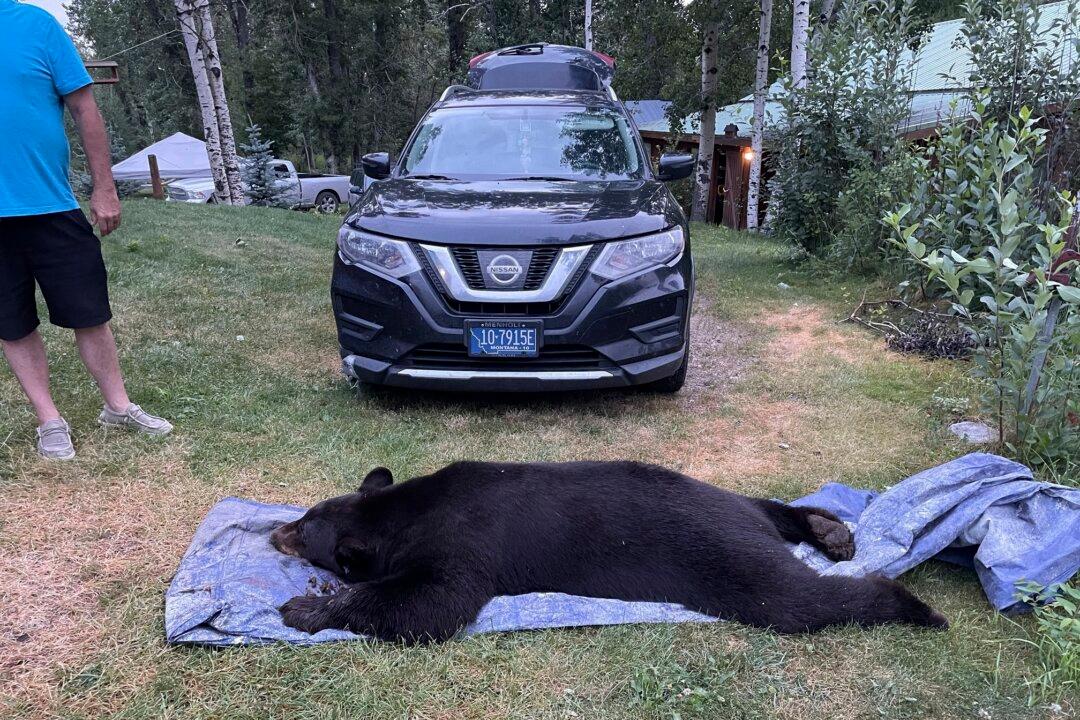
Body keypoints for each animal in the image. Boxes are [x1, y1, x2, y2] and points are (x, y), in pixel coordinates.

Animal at [271, 461, 948, 643]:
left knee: (796, 599)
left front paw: (305, 609)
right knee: (768, 506)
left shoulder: (464, 545)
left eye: (305, 532)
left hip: (733, 560)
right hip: (730, 501)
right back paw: (829, 531)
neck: (404, 513)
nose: (275, 530)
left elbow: (432, 604)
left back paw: (910, 604)